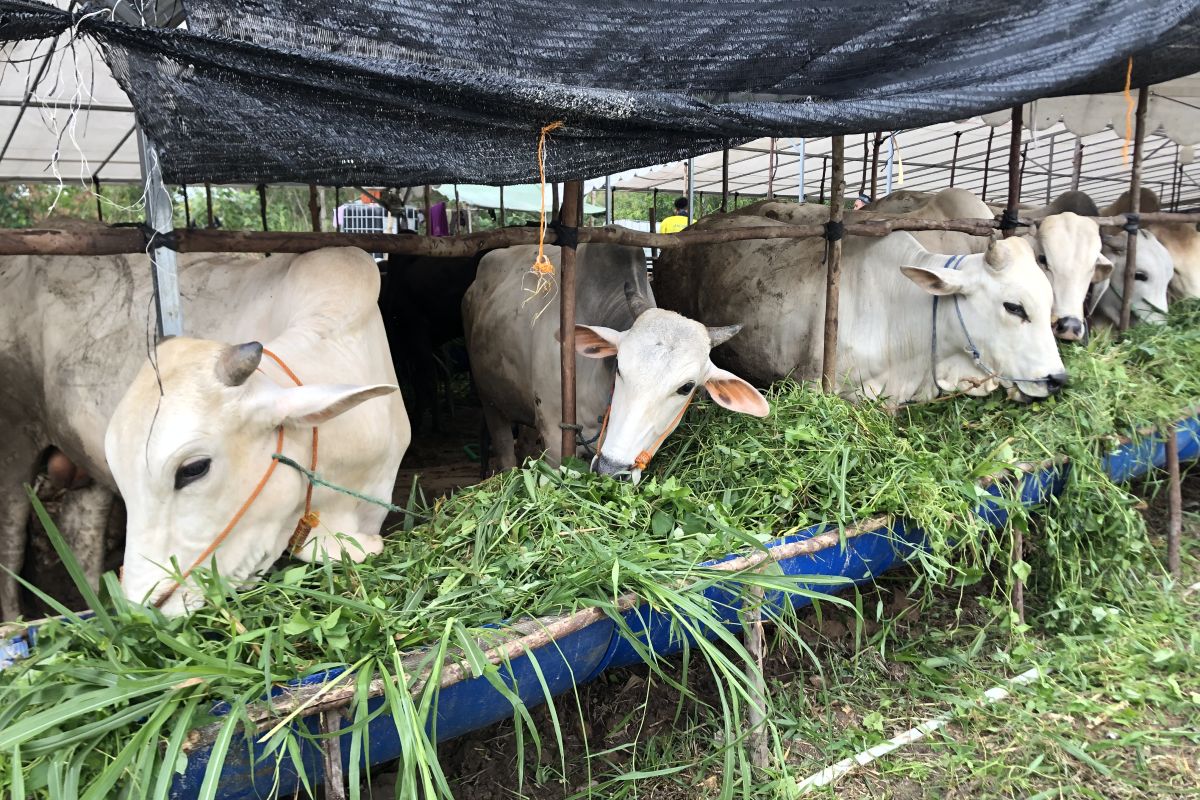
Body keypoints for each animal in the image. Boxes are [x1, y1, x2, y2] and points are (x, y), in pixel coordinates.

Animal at [460, 244, 768, 482]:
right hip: (489, 400)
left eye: (686, 387)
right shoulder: (554, 437)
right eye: (618, 366)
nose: (612, 469)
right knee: (504, 450)